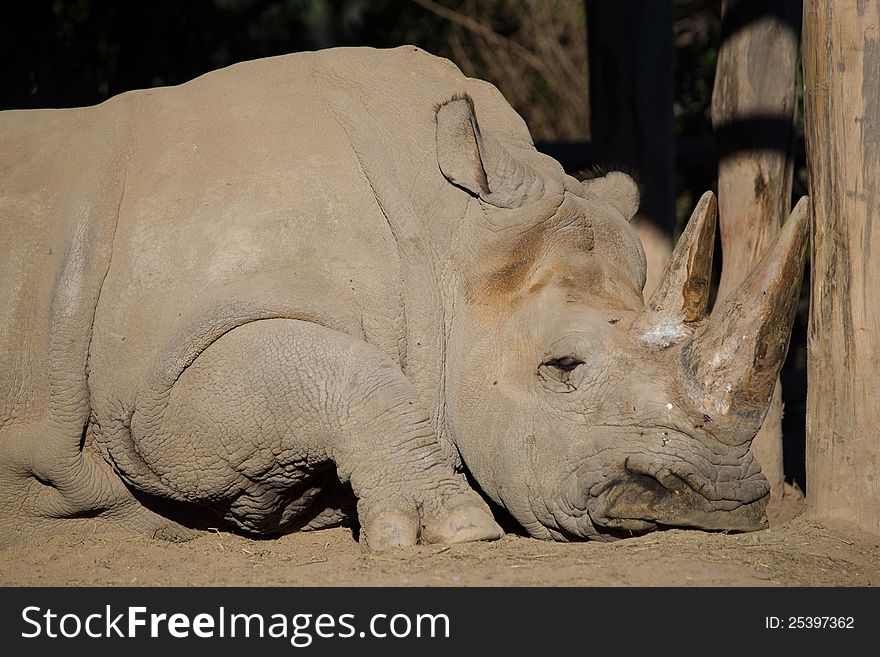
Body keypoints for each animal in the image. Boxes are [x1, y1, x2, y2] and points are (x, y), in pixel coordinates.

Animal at [0, 47, 808, 548]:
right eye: (563, 368)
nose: (716, 499)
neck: (443, 240)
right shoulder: (152, 387)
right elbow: (346, 374)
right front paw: (451, 528)